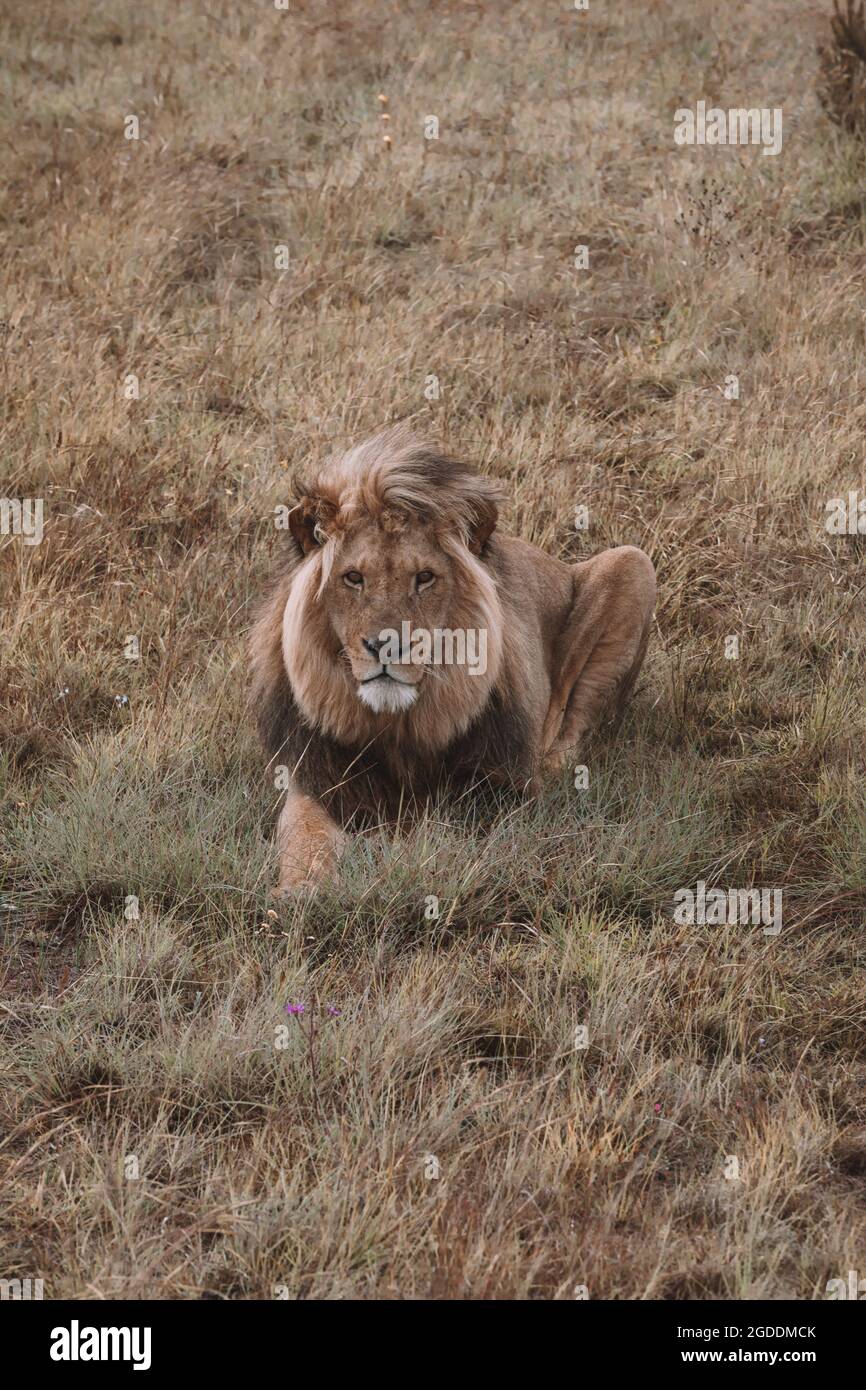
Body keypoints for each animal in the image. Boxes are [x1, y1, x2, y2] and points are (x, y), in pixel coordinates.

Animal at [250, 425, 656, 891]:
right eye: (353, 578)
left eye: (424, 578)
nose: (386, 645)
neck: (397, 729)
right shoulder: (319, 780)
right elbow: (305, 837)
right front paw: (302, 891)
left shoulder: (496, 790)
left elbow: (437, 832)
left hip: (632, 565)